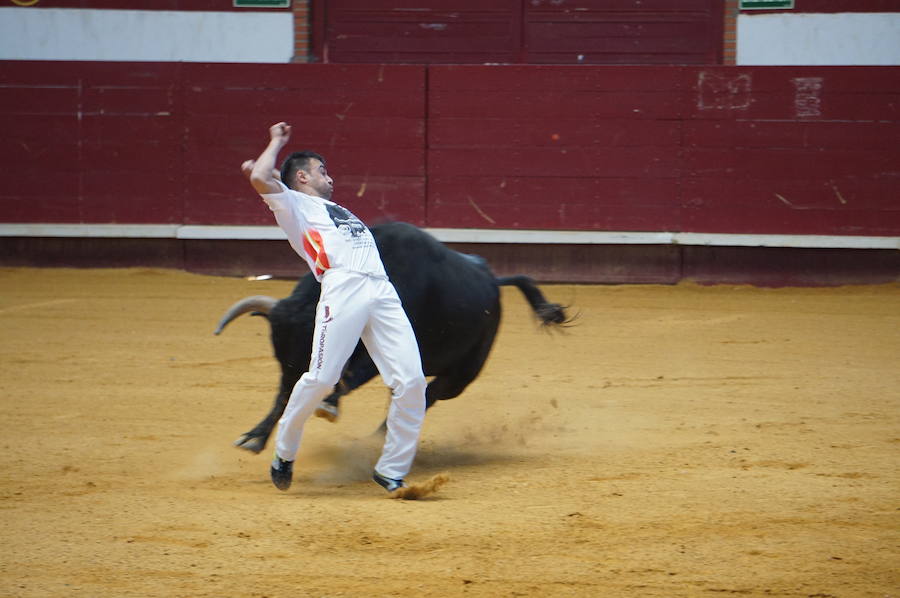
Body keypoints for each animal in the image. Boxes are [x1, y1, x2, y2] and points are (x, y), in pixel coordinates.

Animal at [214, 221, 568, 454]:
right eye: (279, 356)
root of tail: (494, 280)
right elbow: (284, 395)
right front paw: (254, 438)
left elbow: (350, 374)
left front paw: (328, 402)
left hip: (462, 375)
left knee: (429, 394)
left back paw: (382, 436)